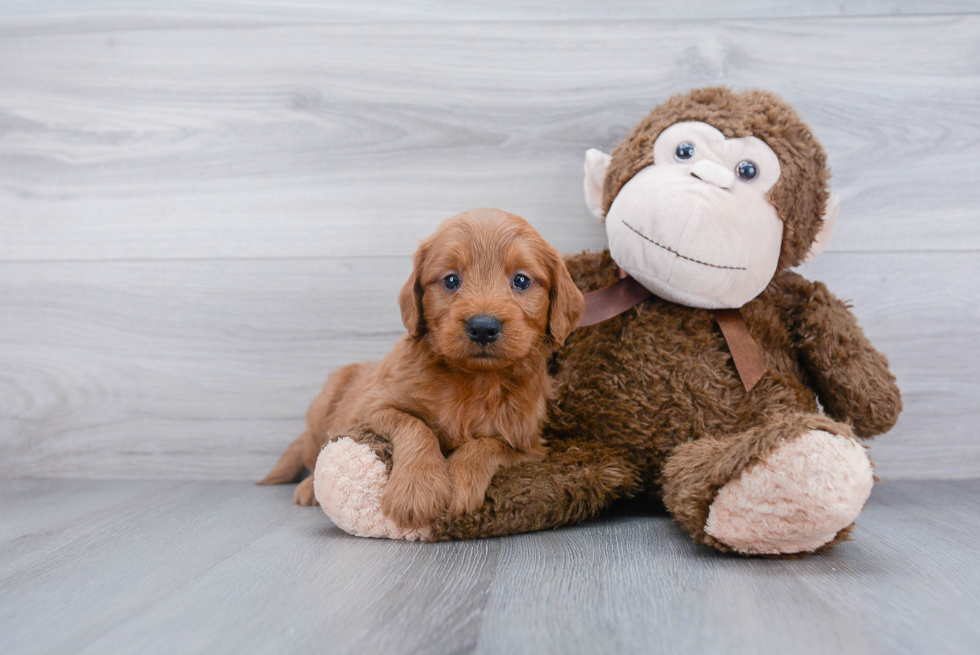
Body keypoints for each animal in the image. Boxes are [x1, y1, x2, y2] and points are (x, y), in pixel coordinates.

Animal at [256, 208, 584, 532]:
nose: (482, 327)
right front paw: (415, 490)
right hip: (323, 406)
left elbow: (487, 444)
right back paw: (307, 488)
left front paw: (460, 484)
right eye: (451, 280)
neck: (474, 379)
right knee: (315, 451)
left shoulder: (529, 445)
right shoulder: (371, 406)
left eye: (521, 281)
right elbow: (415, 425)